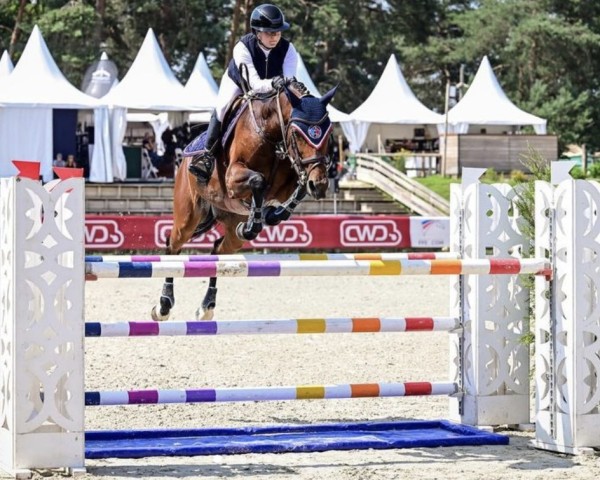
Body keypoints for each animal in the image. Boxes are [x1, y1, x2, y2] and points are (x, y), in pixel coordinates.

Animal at [150, 81, 338, 322]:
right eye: (297, 134)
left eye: (329, 133)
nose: (321, 185)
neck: (271, 133)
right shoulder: (233, 177)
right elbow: (259, 180)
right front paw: (255, 224)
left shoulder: (287, 185)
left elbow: (298, 189)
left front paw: (271, 216)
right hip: (188, 217)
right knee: (173, 246)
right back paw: (163, 305)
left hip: (230, 225)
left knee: (218, 251)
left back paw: (206, 306)